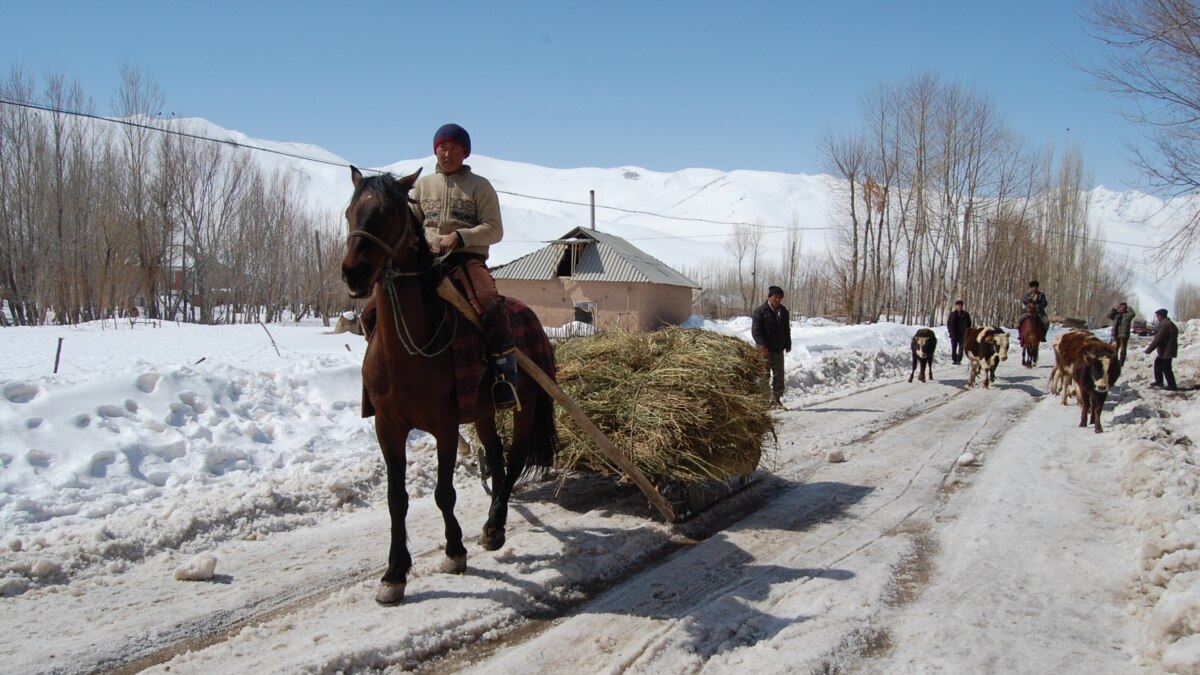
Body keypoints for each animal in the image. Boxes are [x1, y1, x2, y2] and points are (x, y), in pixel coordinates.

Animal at [340, 165, 559, 600]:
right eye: (349, 212)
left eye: (389, 212)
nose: (354, 272)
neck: (408, 350)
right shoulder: (387, 426)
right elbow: (396, 498)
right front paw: (394, 573)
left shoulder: (444, 425)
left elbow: (444, 492)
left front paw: (455, 551)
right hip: (485, 412)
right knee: (495, 455)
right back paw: (493, 526)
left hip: (524, 404)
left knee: (515, 458)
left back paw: (494, 527)